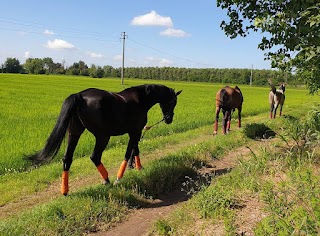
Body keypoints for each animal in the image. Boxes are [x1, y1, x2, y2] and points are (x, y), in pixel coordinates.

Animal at [30, 85, 182, 195]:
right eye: (172, 102)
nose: (169, 119)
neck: (140, 99)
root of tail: (79, 96)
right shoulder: (135, 132)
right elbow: (129, 152)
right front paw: (120, 177)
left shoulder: (134, 132)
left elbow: (135, 149)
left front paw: (137, 166)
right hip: (103, 137)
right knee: (95, 157)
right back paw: (107, 179)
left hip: (74, 134)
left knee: (67, 159)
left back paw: (65, 190)